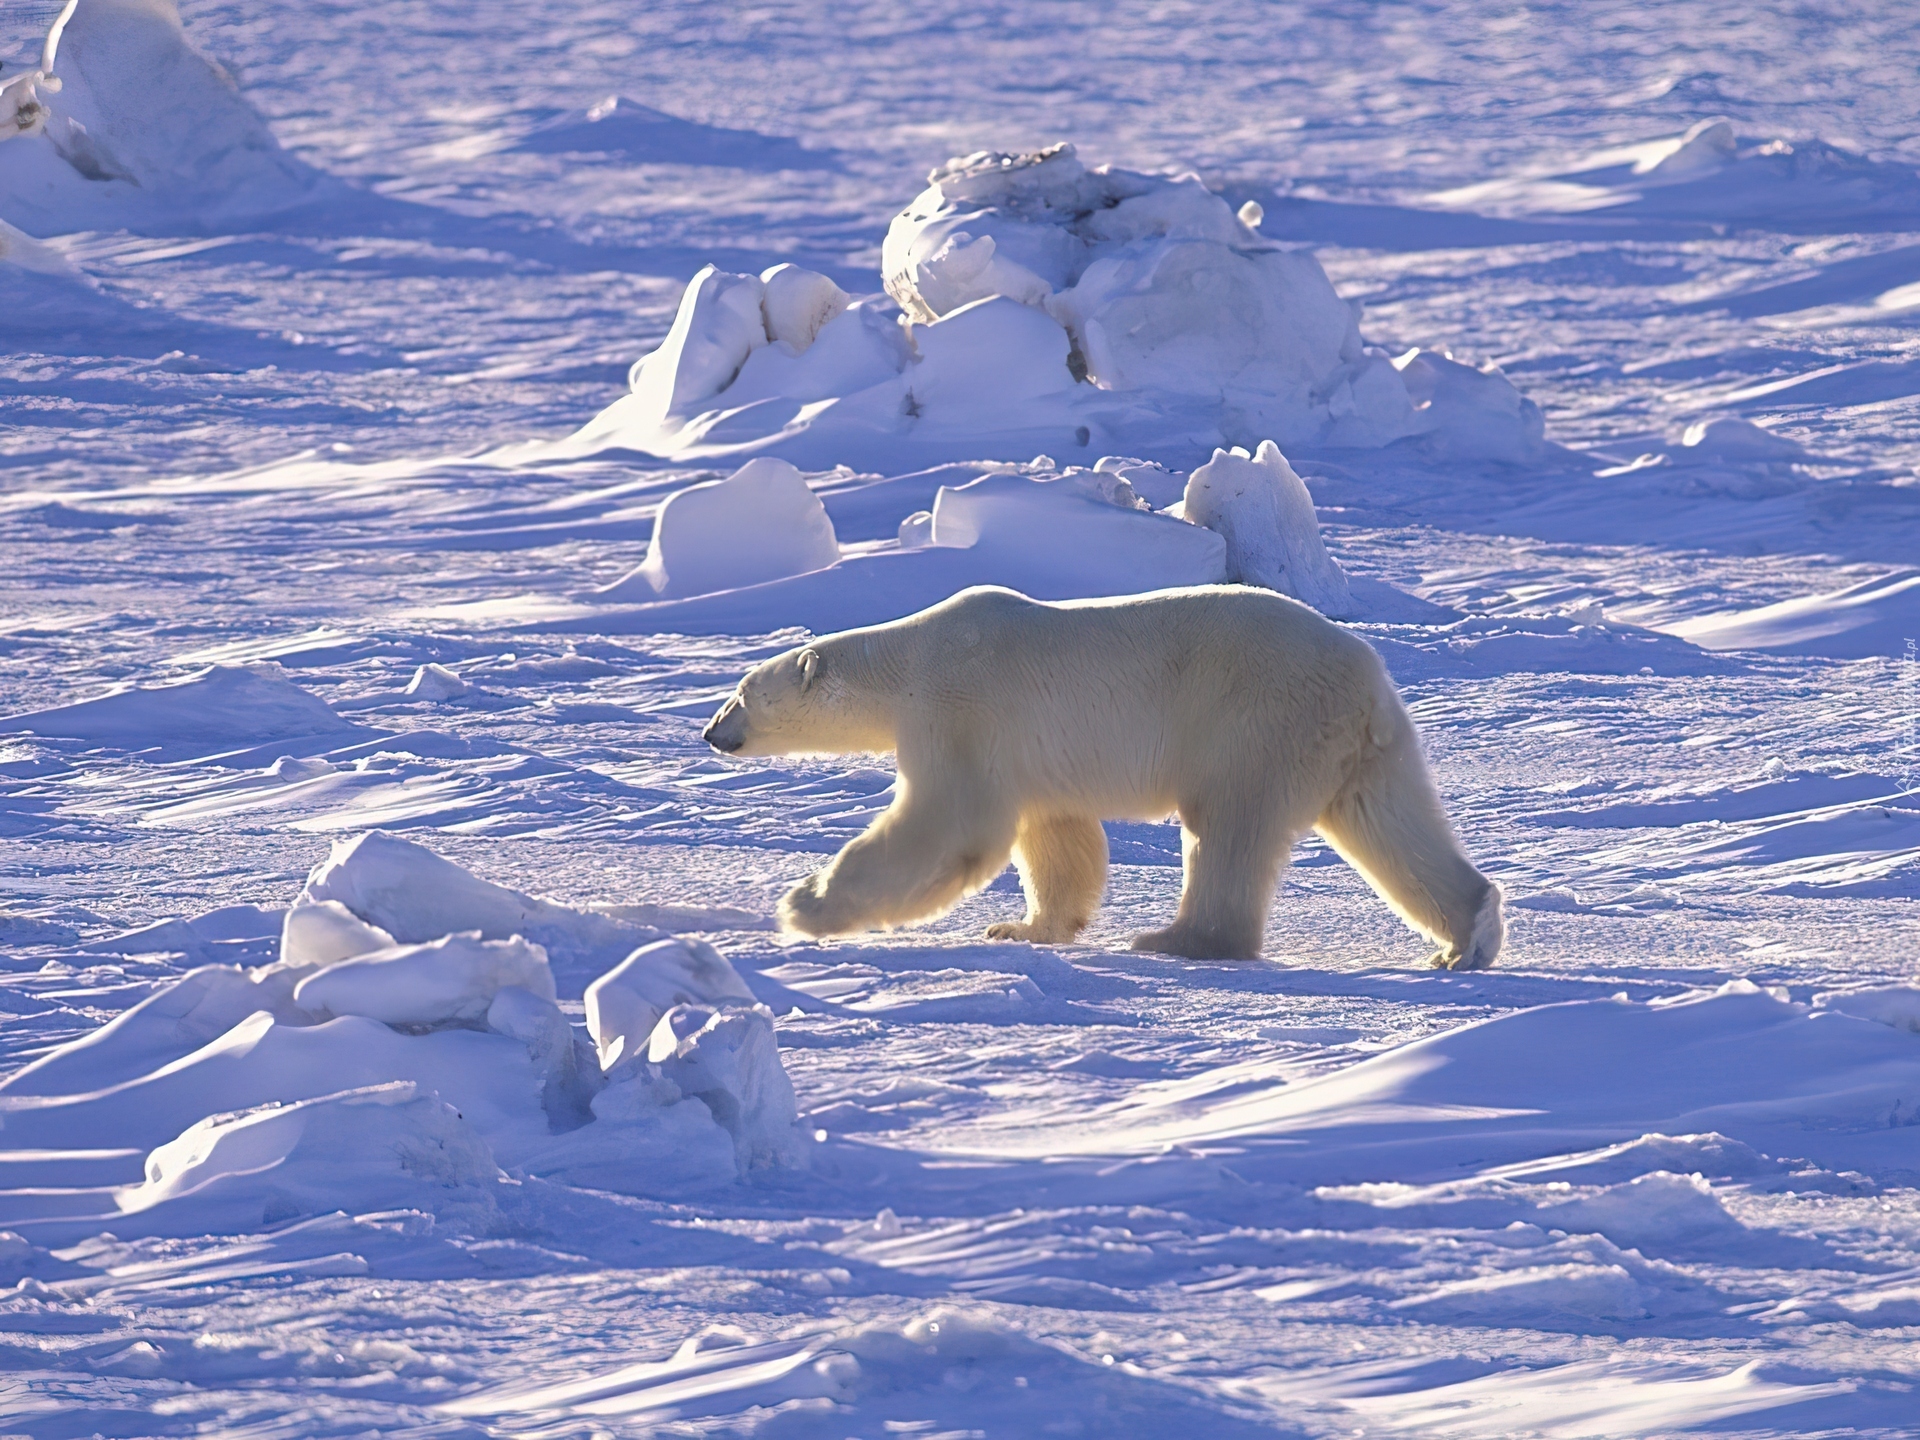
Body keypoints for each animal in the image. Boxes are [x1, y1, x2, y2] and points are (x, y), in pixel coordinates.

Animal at [698, 587, 1505, 971]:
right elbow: (1057, 837)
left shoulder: (959, 709)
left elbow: (950, 825)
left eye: (741, 691)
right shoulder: (1028, 754)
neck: (910, 659)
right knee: (1392, 822)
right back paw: (1466, 937)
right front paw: (1024, 927)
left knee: (1229, 828)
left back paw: (1174, 939)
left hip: (1253, 719)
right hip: (1359, 745)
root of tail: (1364, 678)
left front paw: (804, 905)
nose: (710, 733)